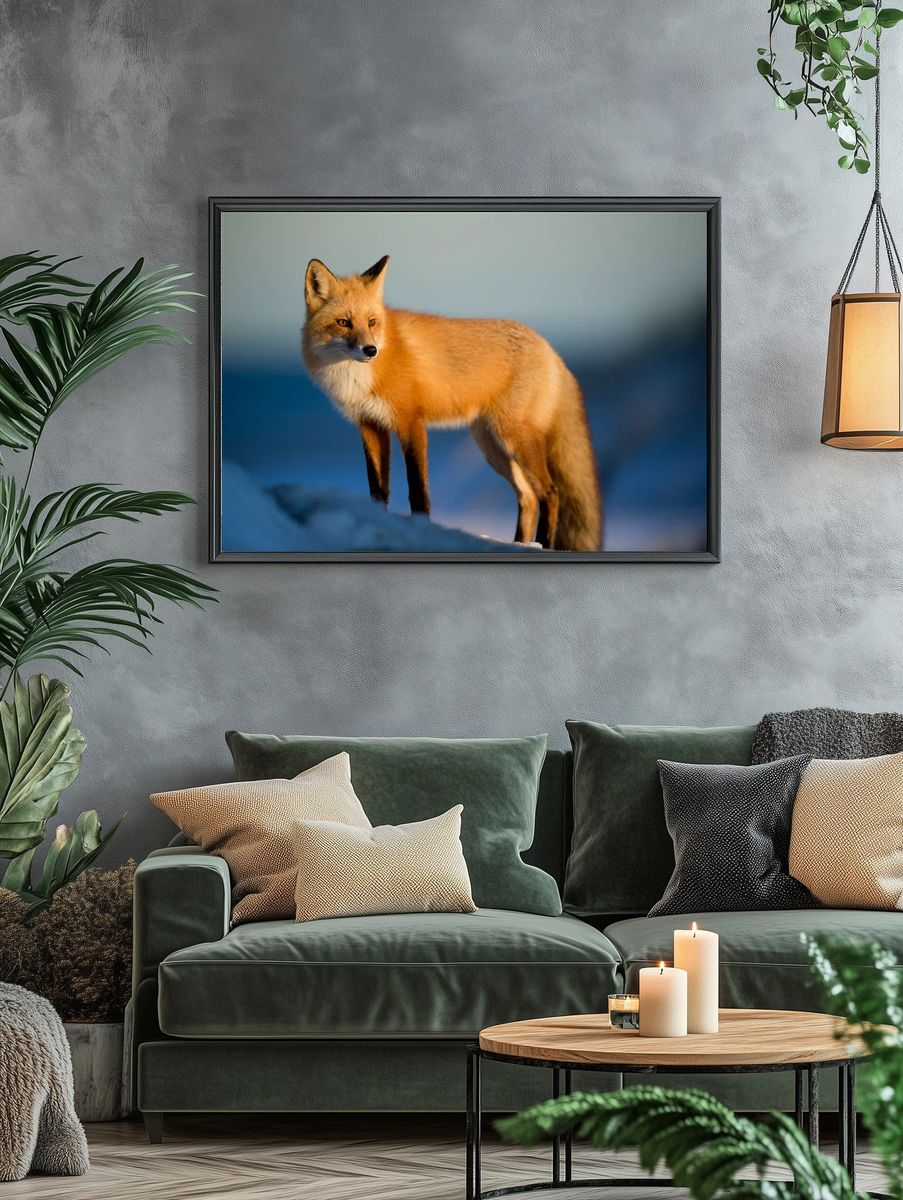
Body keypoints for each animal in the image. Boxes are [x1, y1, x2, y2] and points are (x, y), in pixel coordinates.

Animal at [301, 255, 602, 551]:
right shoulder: (370, 425)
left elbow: (418, 490)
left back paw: (544, 544)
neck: (358, 375)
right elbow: (378, 489)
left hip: (515, 438)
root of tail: (550, 350)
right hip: (493, 447)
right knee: (528, 497)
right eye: (344, 323)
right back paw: (521, 543)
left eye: (372, 322)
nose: (370, 350)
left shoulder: (411, 422)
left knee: (550, 493)